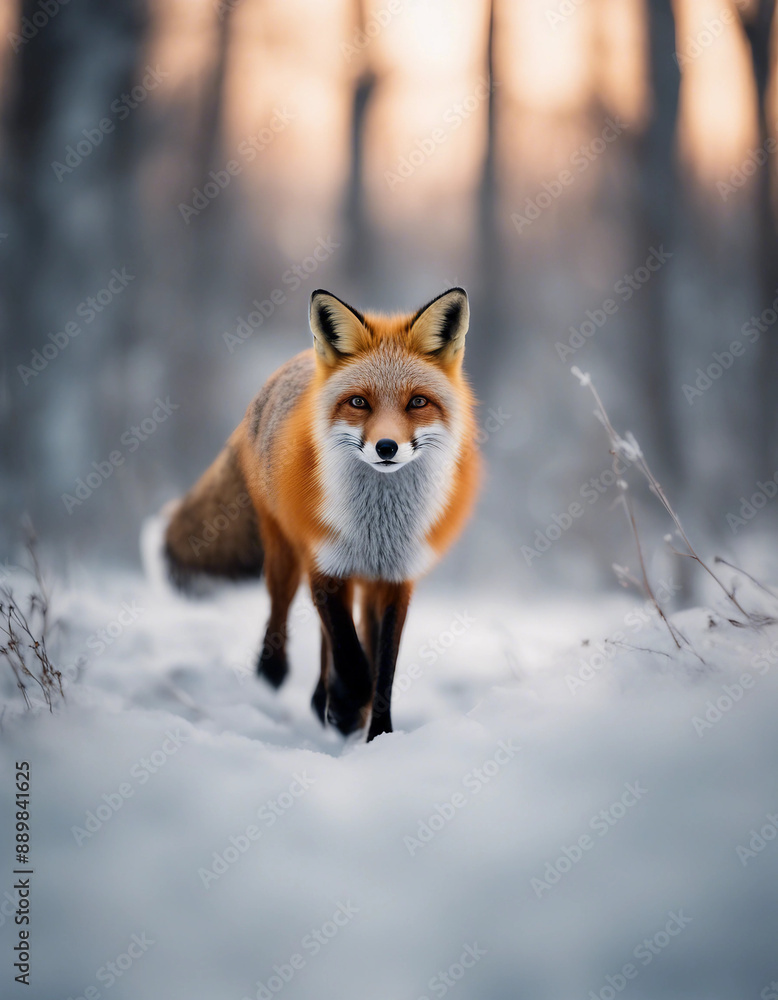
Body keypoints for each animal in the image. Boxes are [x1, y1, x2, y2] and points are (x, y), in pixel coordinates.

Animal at [163, 286, 480, 741]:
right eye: (359, 402)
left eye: (417, 402)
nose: (386, 447)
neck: (376, 528)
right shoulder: (325, 566)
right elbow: (352, 658)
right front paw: (345, 705)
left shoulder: (396, 580)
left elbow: (382, 669)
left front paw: (377, 734)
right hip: (286, 556)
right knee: (283, 619)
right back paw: (281, 676)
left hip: (359, 581)